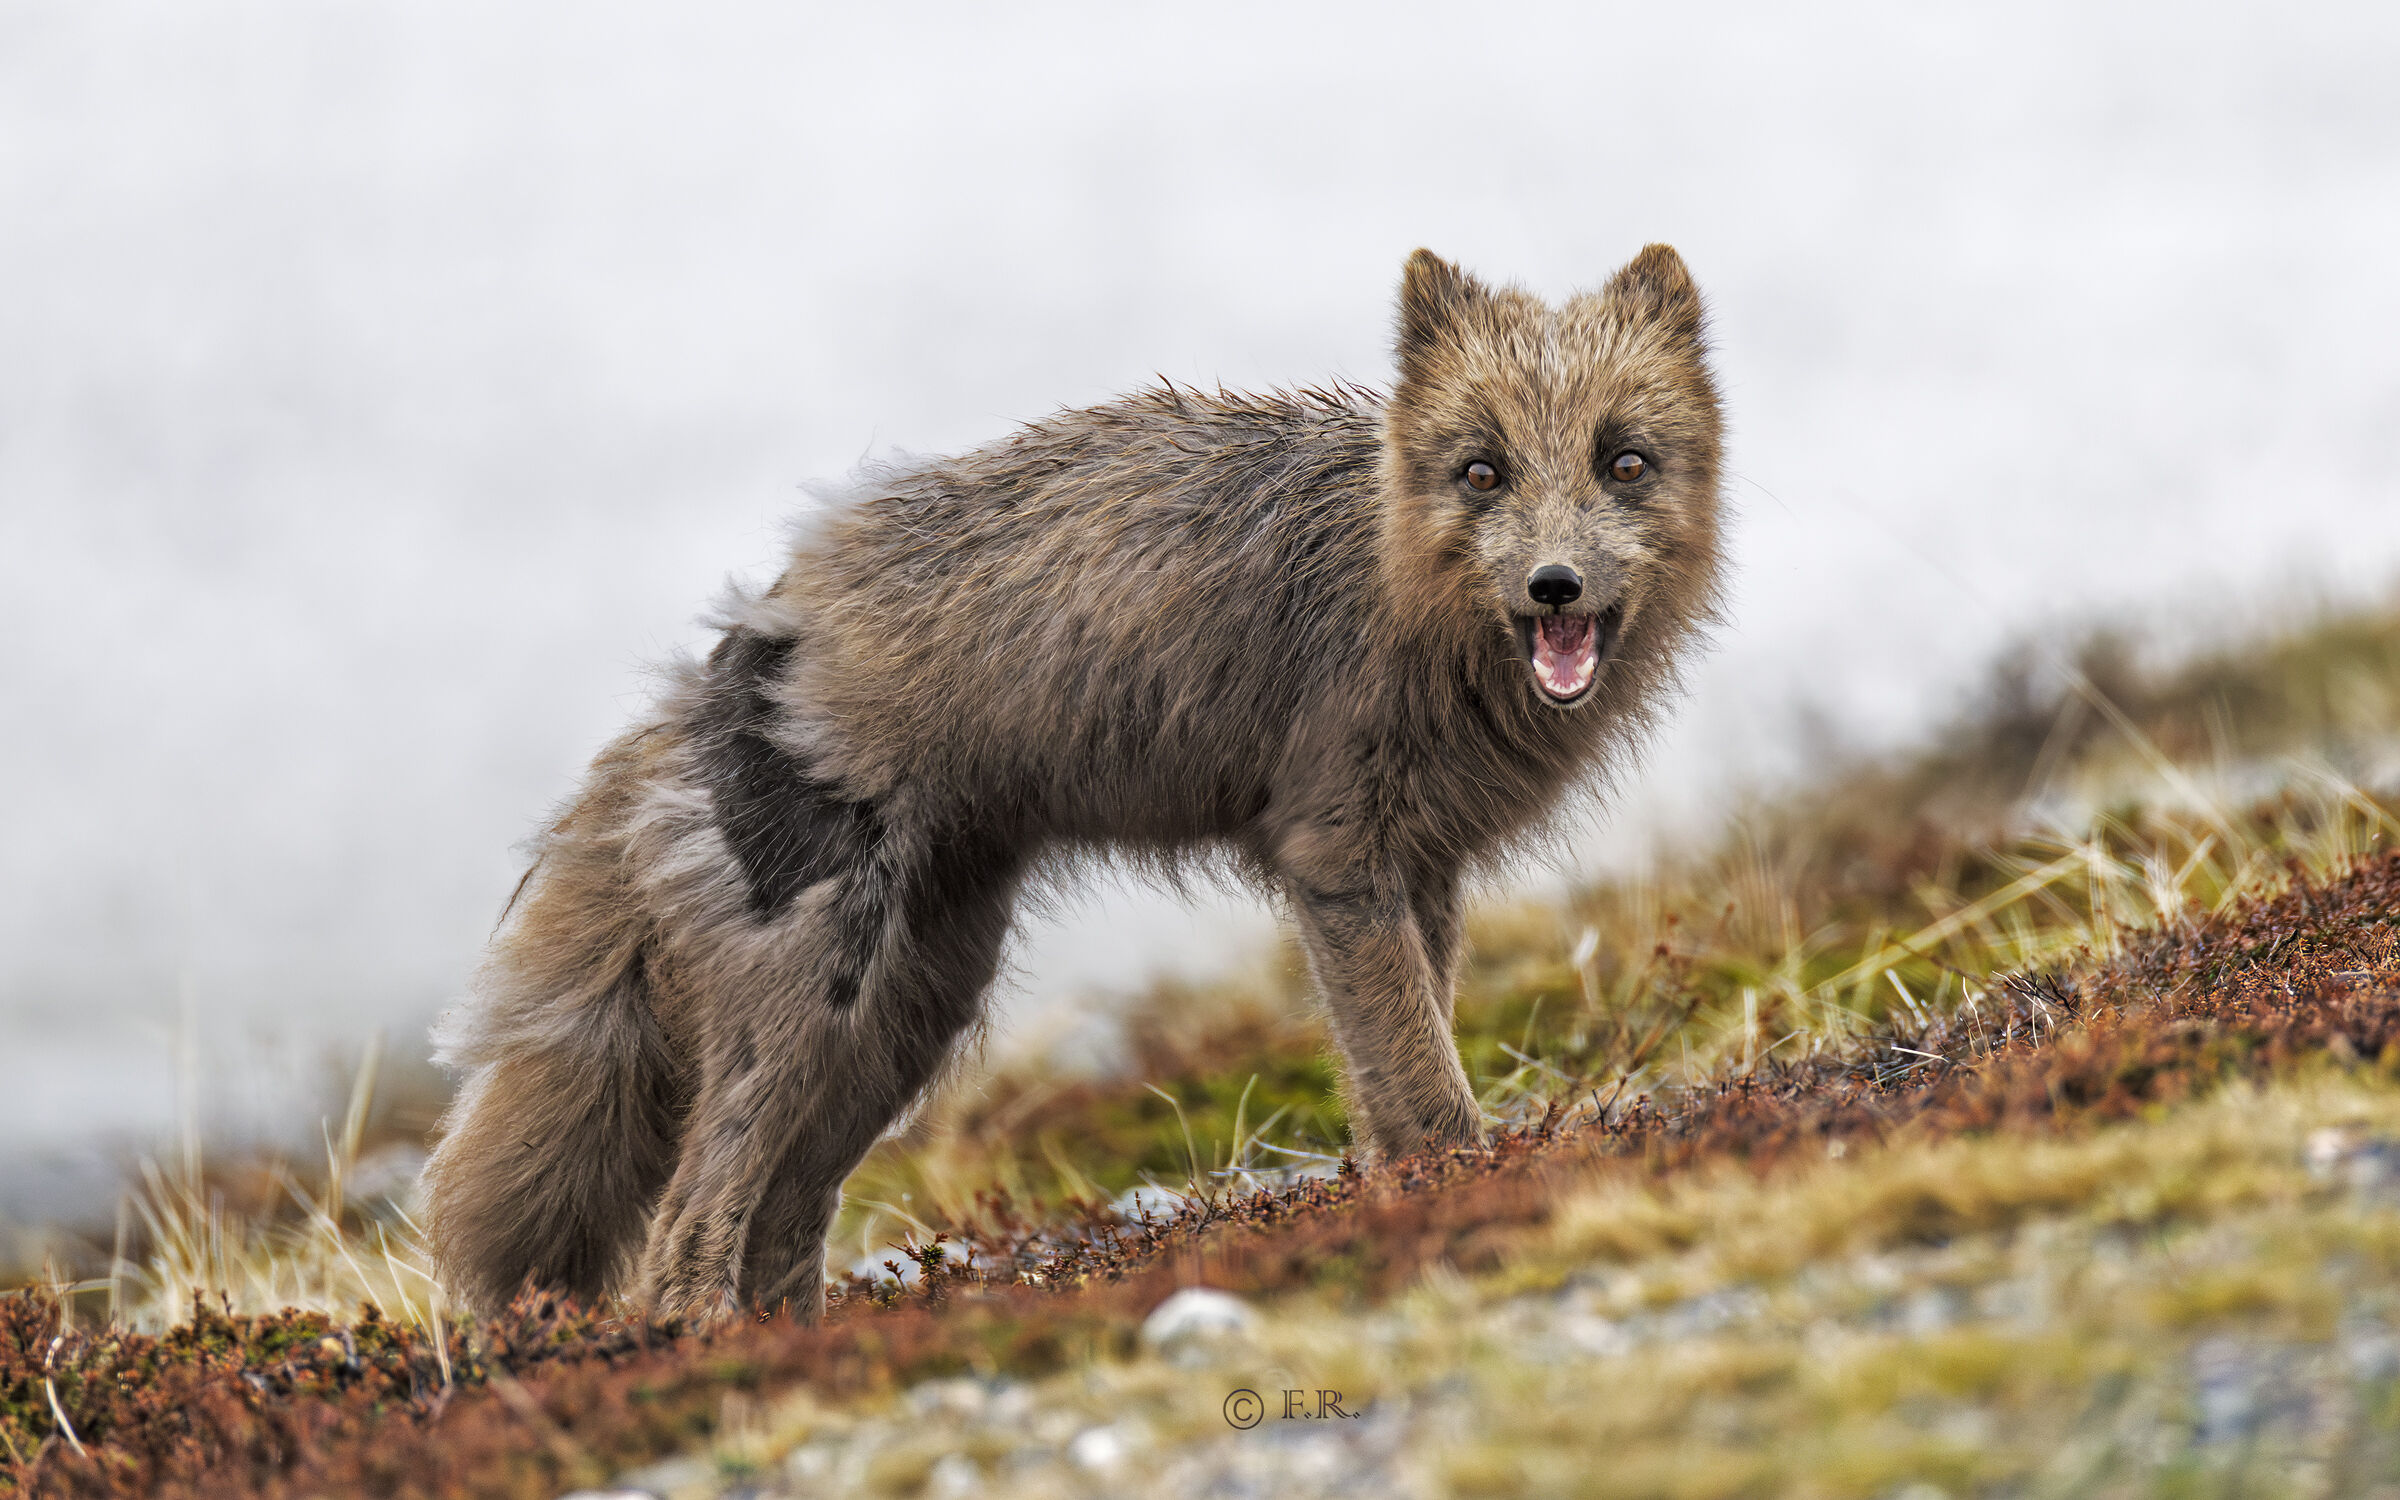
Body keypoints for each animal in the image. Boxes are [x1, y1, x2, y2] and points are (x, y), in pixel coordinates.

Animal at [423, 244, 1728, 1322]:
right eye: (1482, 472)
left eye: (1623, 461)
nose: (1555, 587)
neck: (1392, 590)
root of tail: (751, 626)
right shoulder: (1335, 862)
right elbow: (1423, 1078)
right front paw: (1463, 1189)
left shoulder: (1418, 871)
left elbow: (1398, 1071)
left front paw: (1419, 1192)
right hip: (811, 1002)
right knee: (686, 1235)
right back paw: (705, 1353)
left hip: (913, 1014)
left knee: (782, 1222)